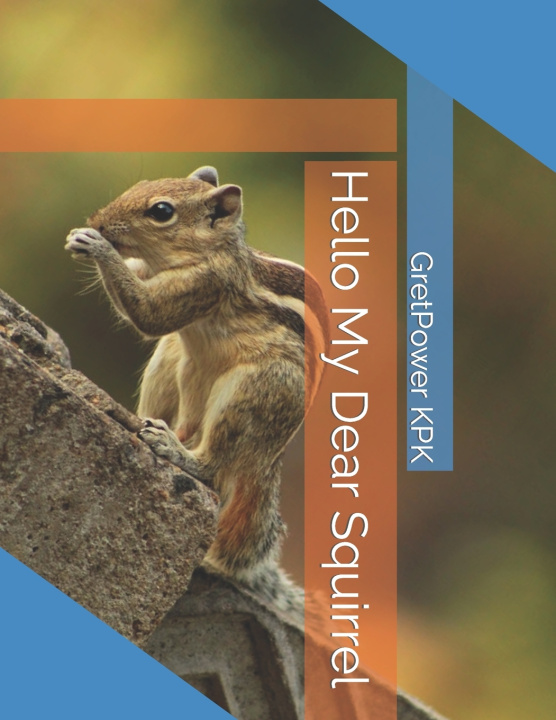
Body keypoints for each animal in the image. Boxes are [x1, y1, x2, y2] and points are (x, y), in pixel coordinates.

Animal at [65, 166, 327, 615]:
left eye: (161, 211)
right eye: (139, 185)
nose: (98, 221)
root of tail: (268, 458)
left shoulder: (208, 283)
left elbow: (151, 314)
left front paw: (96, 245)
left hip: (253, 391)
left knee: (214, 468)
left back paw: (178, 452)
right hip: (175, 363)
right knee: (180, 419)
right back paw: (149, 426)